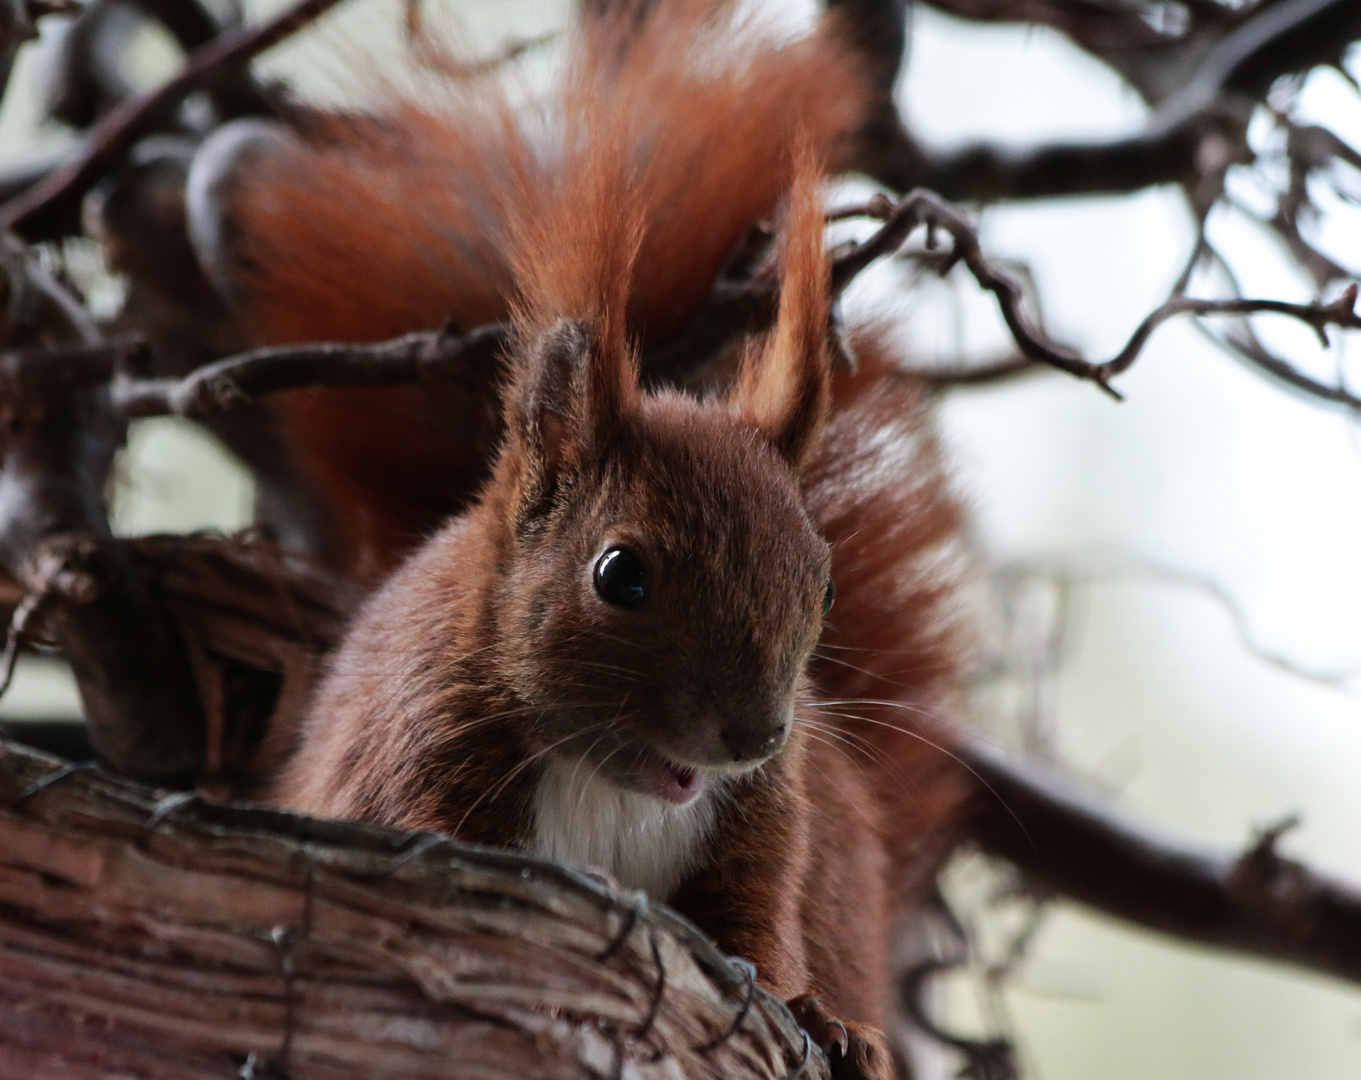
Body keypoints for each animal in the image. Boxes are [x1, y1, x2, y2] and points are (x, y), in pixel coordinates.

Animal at [194, 4, 979, 1071]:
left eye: (824, 586)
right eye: (619, 574)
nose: (755, 733)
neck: (614, 783)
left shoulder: (764, 830)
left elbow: (758, 931)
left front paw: (817, 1019)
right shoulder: (414, 761)